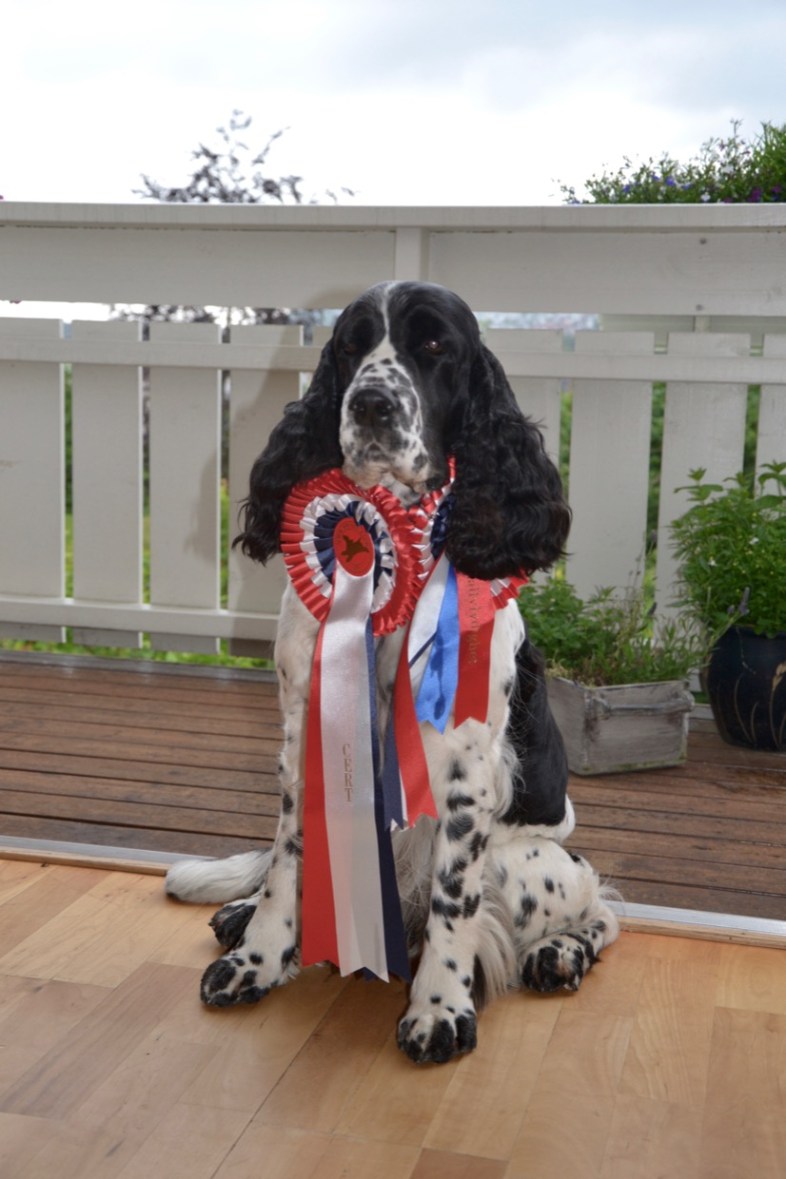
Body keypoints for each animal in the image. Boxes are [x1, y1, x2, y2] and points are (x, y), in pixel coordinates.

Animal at [166, 280, 619, 1064]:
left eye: (434, 344)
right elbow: (287, 860)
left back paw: (560, 952)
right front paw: (259, 958)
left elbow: (453, 899)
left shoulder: (466, 770)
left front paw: (439, 1010)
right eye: (351, 346)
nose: (371, 404)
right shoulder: (304, 730)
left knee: (600, 904)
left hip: (531, 859)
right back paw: (240, 912)